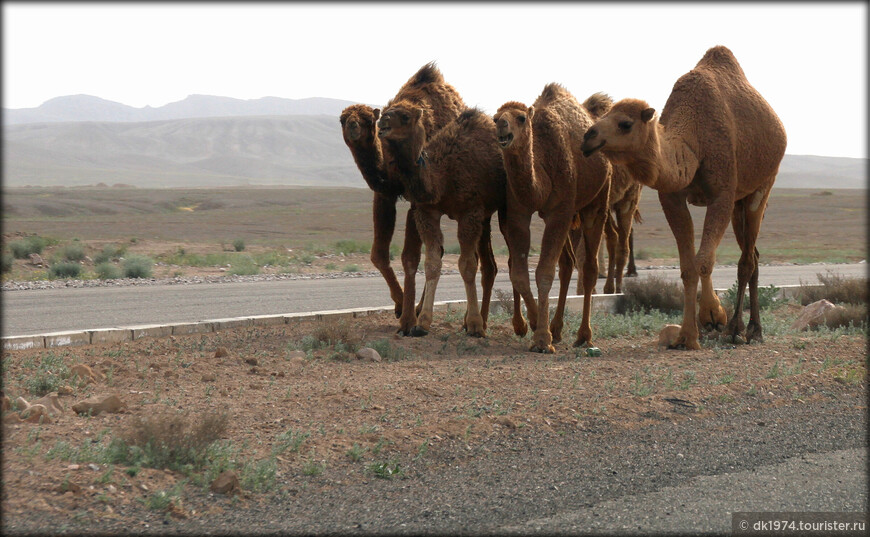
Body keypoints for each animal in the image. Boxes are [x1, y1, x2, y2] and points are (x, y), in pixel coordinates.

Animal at [338, 61, 466, 330]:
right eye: (342, 119)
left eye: (368, 119)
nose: (353, 126)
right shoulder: (384, 194)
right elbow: (378, 254)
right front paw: (399, 305)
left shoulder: (417, 200)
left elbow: (410, 257)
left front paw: (407, 320)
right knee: (436, 250)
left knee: (434, 251)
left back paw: (419, 311)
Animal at [378, 105, 516, 336]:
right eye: (386, 111)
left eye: (405, 116)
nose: (382, 121)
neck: (442, 177)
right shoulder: (427, 212)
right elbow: (432, 263)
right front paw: (422, 324)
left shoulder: (470, 211)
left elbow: (467, 265)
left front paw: (475, 326)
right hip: (485, 217)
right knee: (489, 266)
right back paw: (477, 320)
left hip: (504, 208)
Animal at [494, 84, 616, 352]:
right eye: (495, 117)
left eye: (521, 117)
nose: (501, 125)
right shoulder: (518, 212)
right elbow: (519, 273)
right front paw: (535, 324)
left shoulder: (559, 209)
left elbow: (544, 272)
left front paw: (542, 339)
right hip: (571, 213)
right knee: (568, 263)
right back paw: (558, 328)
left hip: (596, 200)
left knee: (588, 267)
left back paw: (584, 335)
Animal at [584, 45, 792, 348]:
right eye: (603, 116)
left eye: (625, 123)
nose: (588, 137)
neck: (693, 139)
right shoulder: (672, 198)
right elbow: (687, 266)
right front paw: (688, 333)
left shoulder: (722, 192)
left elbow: (704, 261)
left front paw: (713, 316)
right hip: (739, 203)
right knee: (752, 253)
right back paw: (748, 327)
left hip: (763, 184)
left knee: (747, 259)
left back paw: (742, 329)